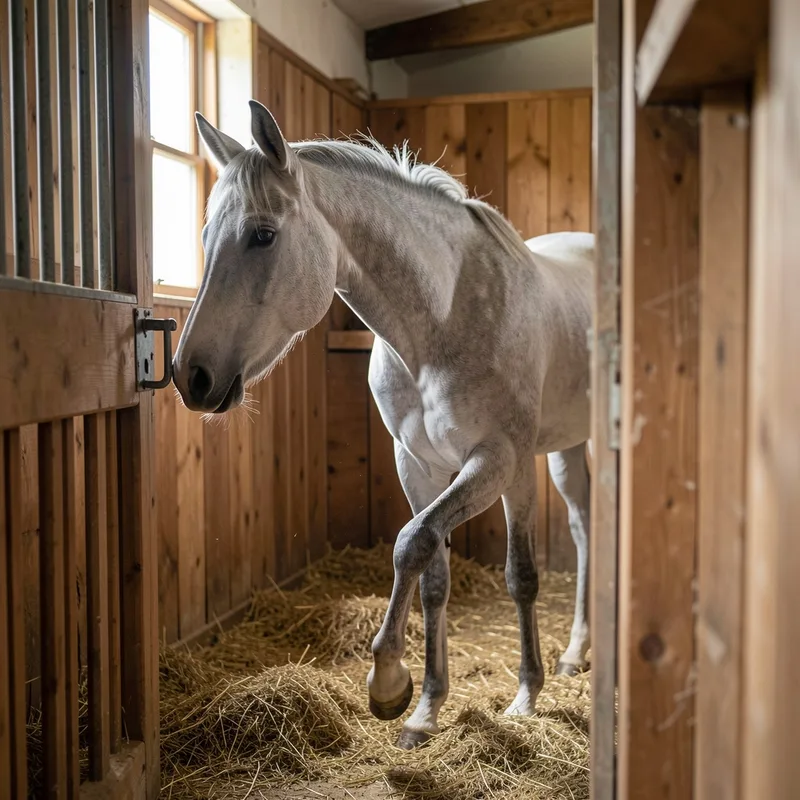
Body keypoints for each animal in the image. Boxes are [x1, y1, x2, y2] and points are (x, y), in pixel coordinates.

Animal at [172, 100, 593, 750]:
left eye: (262, 234)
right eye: (205, 235)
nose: (190, 376)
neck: (444, 319)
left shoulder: (500, 462)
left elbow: (498, 569)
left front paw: (510, 695)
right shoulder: (417, 464)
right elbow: (428, 565)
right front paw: (422, 706)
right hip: (562, 449)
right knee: (583, 526)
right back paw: (575, 653)